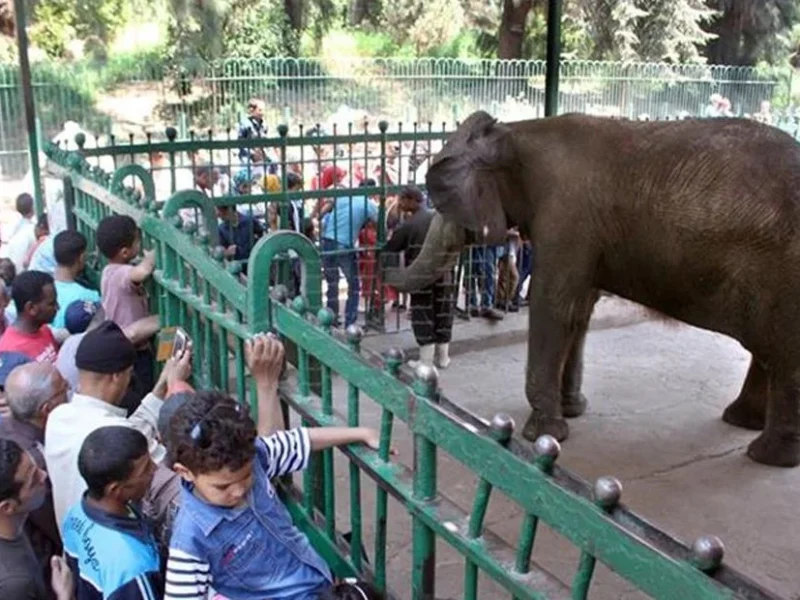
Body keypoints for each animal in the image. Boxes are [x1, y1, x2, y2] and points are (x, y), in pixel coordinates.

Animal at [382, 111, 800, 468]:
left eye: (447, 201)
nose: (393, 244)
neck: (517, 132)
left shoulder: (566, 217)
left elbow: (554, 306)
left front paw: (544, 435)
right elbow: (579, 311)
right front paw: (572, 410)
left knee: (780, 353)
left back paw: (767, 455)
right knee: (768, 351)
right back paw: (742, 423)